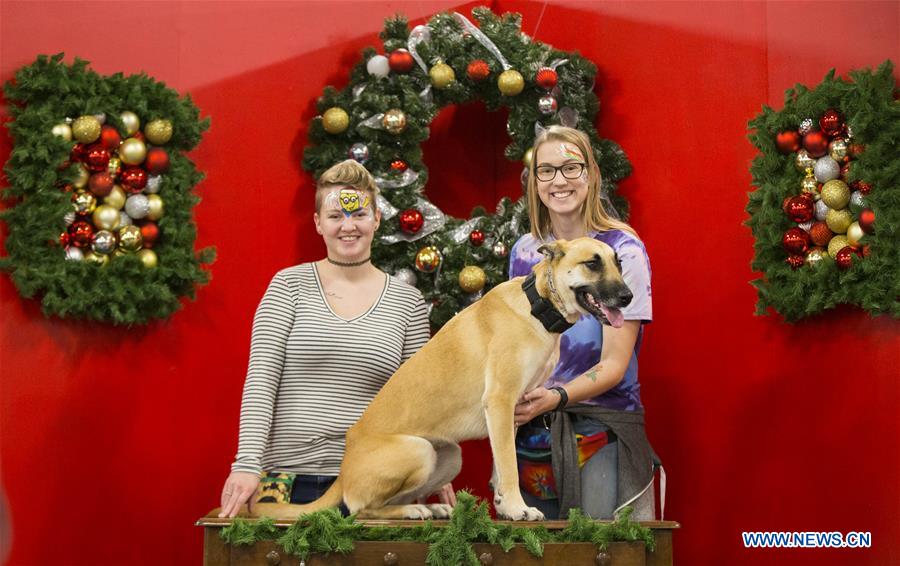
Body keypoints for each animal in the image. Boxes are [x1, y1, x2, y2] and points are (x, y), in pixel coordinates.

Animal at [251, 237, 632, 520]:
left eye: (619, 263)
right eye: (592, 263)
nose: (628, 297)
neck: (538, 304)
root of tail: (343, 470)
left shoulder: (513, 410)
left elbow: (501, 461)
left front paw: (503, 505)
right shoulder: (500, 401)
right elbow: (508, 463)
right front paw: (518, 508)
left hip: (448, 454)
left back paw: (429, 507)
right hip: (417, 450)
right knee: (361, 509)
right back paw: (413, 510)